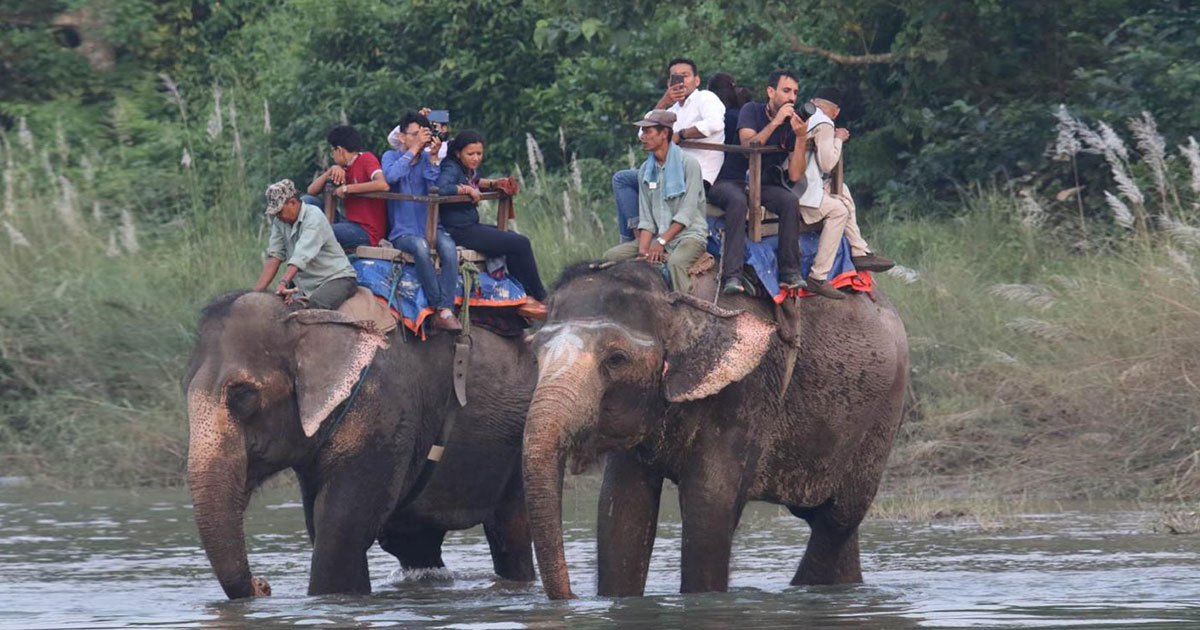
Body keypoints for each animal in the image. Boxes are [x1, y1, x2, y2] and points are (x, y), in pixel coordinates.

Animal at [184, 291, 537, 599]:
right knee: (413, 543)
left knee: (510, 534)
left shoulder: (383, 415)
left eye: (243, 394)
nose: (263, 585)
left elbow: (339, 531)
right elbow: (322, 526)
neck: (306, 316)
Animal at [522, 261, 909, 599]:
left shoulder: (742, 392)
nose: (573, 596)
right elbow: (620, 511)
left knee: (838, 517)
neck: (672, 293)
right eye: (535, 355)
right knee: (825, 520)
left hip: (882, 415)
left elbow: (708, 507)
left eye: (616, 359)